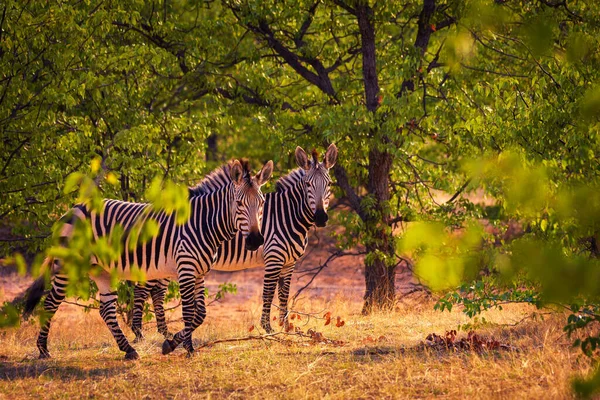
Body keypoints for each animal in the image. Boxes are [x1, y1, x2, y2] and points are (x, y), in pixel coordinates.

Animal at [23, 159, 272, 360]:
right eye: (239, 204)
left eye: (261, 203)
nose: (255, 240)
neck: (203, 223)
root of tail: (72, 208)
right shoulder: (186, 269)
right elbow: (189, 312)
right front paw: (182, 348)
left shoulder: (200, 272)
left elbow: (200, 314)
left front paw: (176, 345)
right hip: (68, 266)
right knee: (50, 304)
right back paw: (43, 350)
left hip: (102, 270)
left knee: (107, 311)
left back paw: (129, 350)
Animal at [131, 144, 338, 338]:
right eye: (308, 184)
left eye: (329, 184)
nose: (321, 217)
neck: (287, 215)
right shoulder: (274, 258)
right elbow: (268, 292)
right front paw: (268, 328)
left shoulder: (289, 262)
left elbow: (284, 294)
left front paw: (285, 328)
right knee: (143, 290)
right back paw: (139, 333)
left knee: (157, 292)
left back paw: (163, 332)